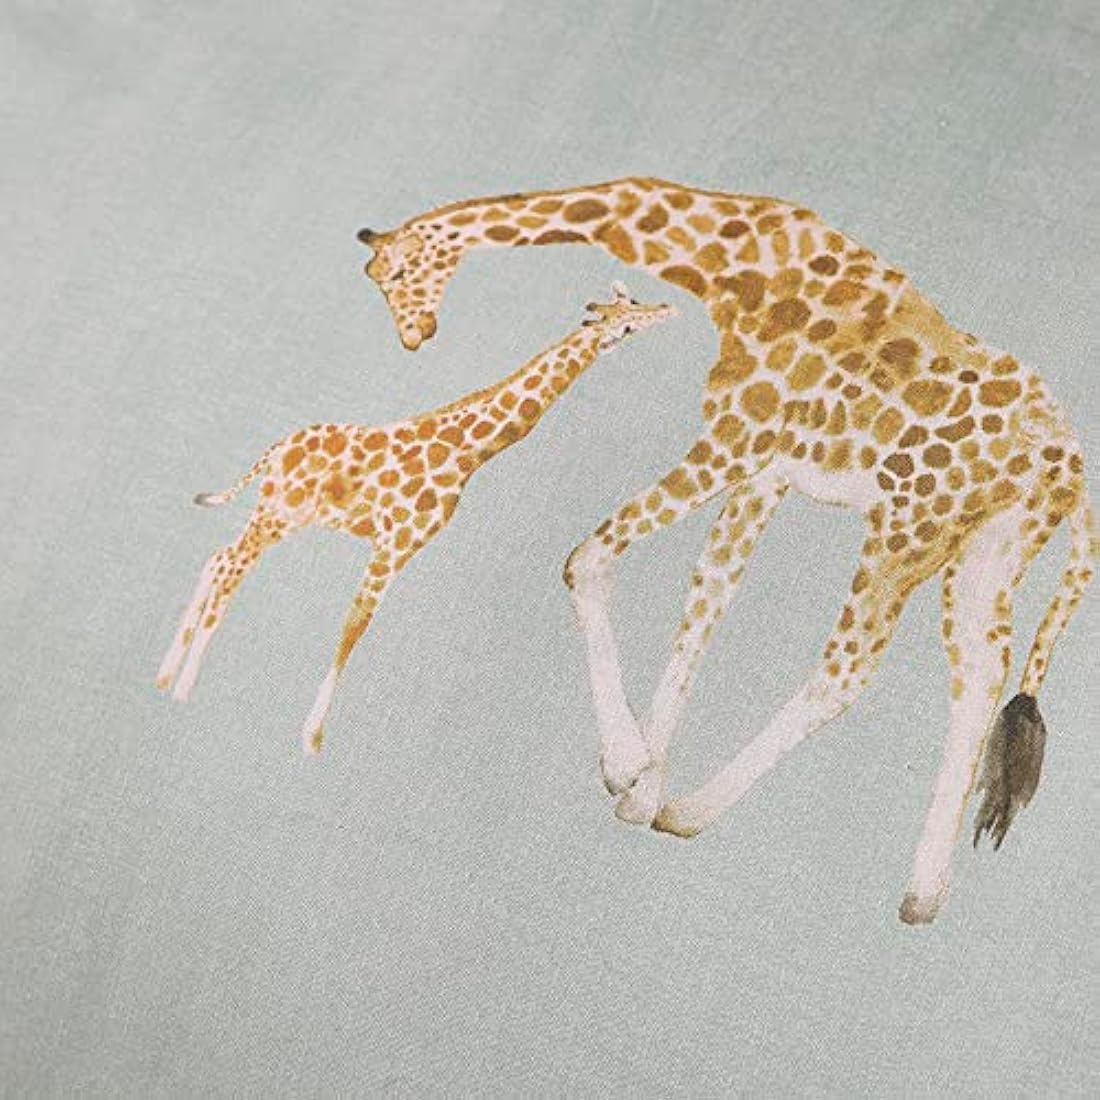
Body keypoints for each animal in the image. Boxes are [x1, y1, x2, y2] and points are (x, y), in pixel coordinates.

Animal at [156, 284, 674, 753]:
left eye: (632, 302)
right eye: (626, 325)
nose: (667, 308)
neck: (466, 452)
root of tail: (274, 450)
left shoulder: (401, 546)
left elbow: (353, 624)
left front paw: (311, 732)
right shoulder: (395, 543)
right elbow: (355, 626)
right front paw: (313, 737)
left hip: (277, 514)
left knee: (218, 559)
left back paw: (166, 676)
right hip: (280, 512)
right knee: (228, 567)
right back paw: (184, 684)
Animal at [359, 177, 1097, 923]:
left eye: (394, 271)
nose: (414, 337)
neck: (726, 265)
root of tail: (1068, 470)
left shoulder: (737, 436)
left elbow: (588, 559)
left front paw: (627, 768)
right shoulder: (763, 472)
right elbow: (704, 607)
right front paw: (640, 784)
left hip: (910, 526)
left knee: (850, 669)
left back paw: (693, 813)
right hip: (987, 552)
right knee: (980, 676)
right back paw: (923, 893)